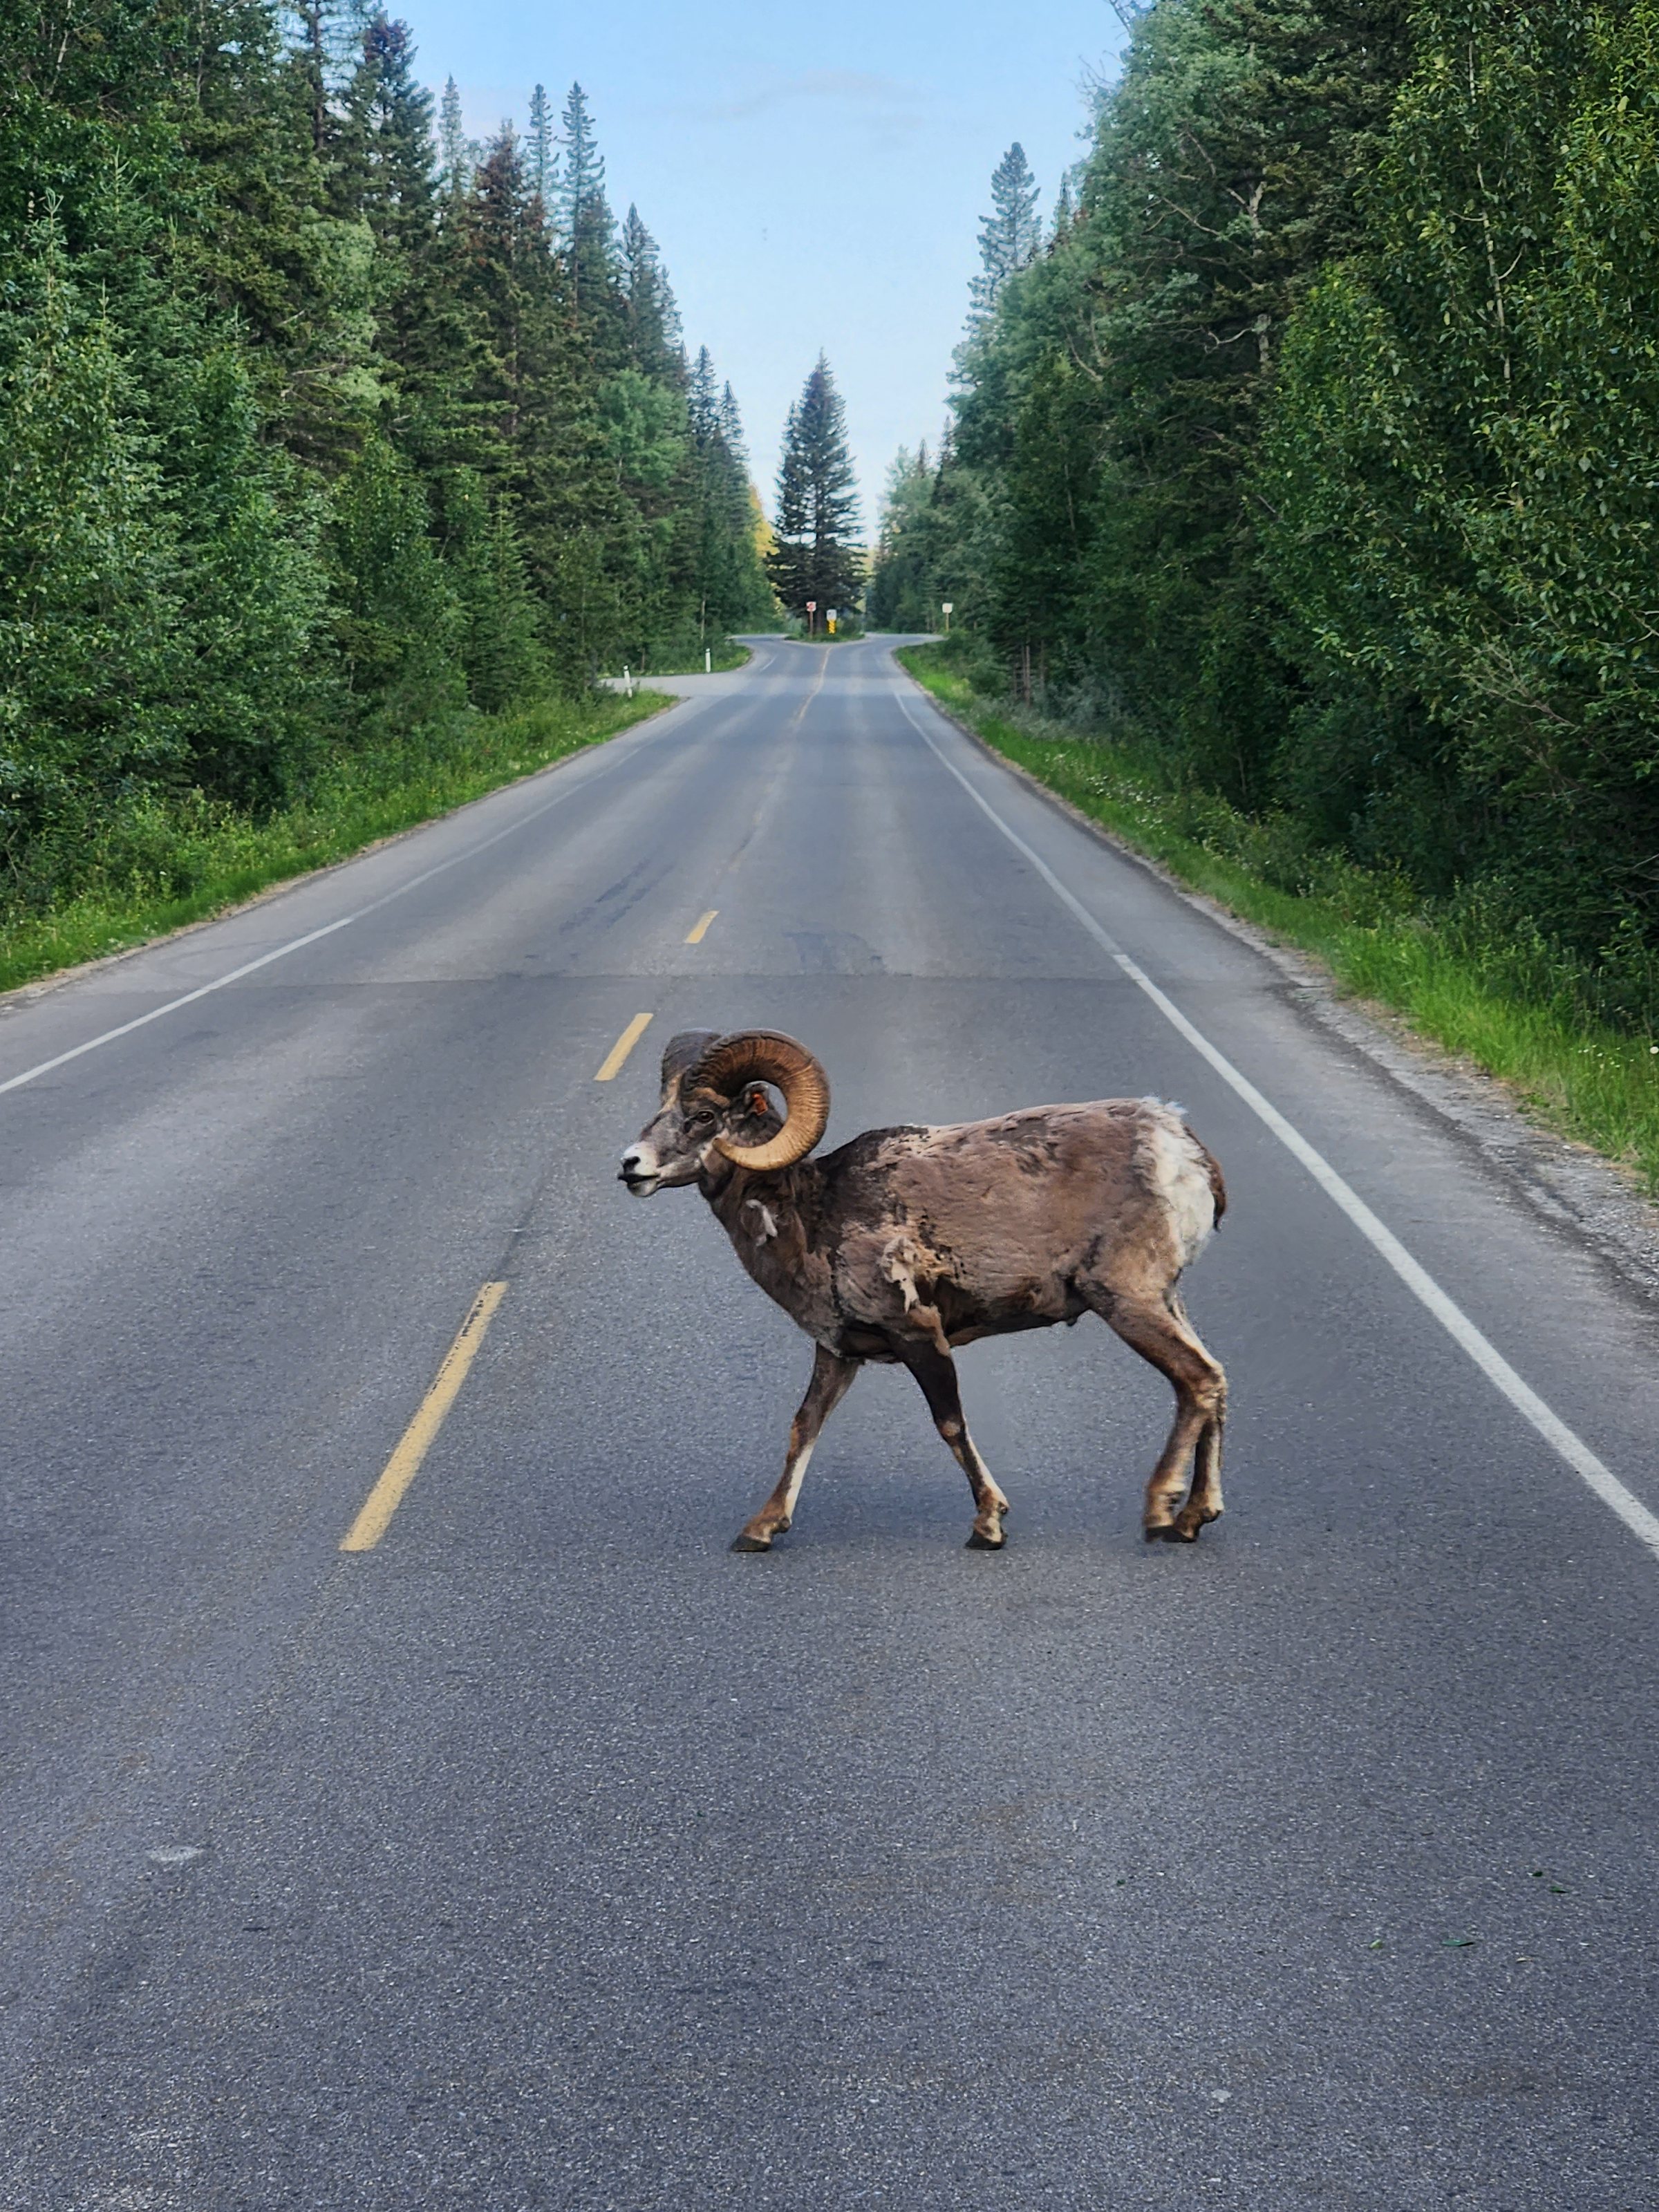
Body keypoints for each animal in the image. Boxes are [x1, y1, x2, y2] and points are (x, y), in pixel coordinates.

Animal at [619, 1027, 1228, 1553]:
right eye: (660, 1110)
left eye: (704, 1115)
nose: (631, 1166)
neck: (809, 1214)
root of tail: (1181, 1148)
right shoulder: (838, 1353)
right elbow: (803, 1427)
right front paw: (760, 1530)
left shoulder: (917, 1335)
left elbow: (951, 1424)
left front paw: (988, 1525)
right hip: (1166, 1302)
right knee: (1214, 1384)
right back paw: (1196, 1517)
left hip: (1128, 1302)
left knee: (1196, 1381)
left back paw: (1160, 1515)